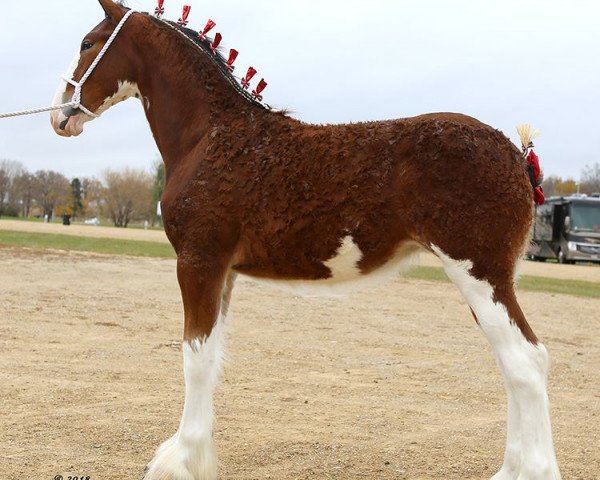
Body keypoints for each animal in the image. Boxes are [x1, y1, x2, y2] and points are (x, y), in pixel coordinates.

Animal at [51, 1, 564, 478]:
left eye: (87, 43)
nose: (60, 115)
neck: (212, 137)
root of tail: (516, 155)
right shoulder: (223, 274)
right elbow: (213, 358)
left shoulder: (198, 263)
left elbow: (194, 357)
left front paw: (179, 462)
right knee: (514, 365)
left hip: (479, 274)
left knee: (524, 362)